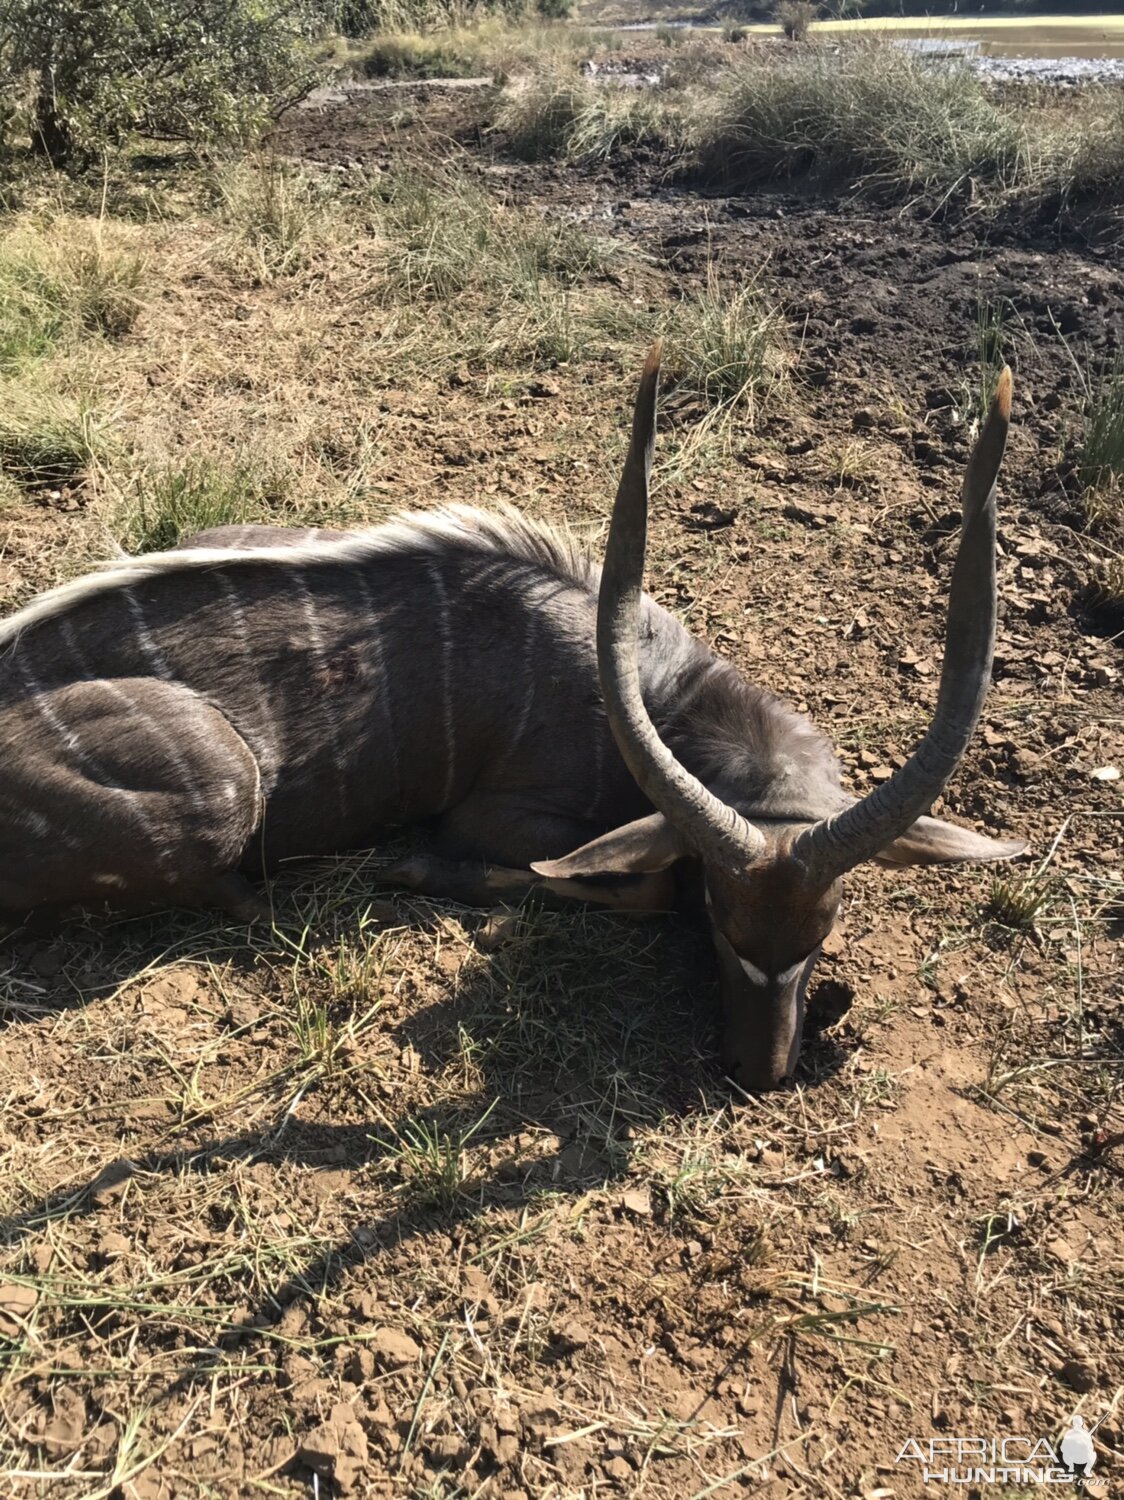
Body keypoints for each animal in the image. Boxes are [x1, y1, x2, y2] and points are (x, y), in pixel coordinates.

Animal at [0, 357, 1020, 1098]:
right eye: (720, 916)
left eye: (825, 927)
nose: (761, 1073)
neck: (654, 694)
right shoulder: (505, 816)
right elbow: (621, 883)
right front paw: (419, 873)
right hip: (226, 785)